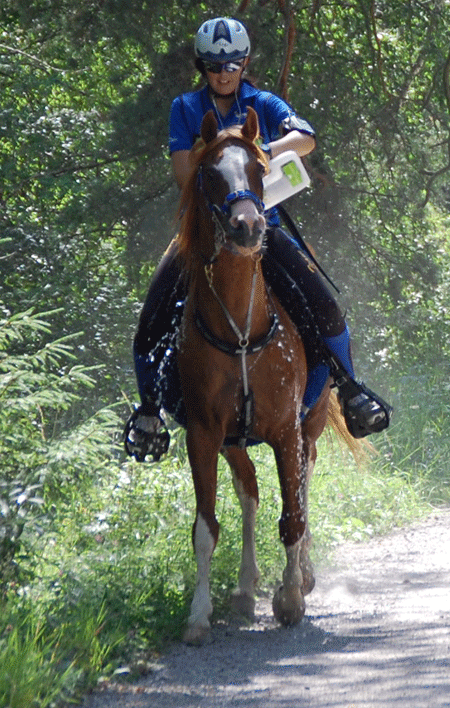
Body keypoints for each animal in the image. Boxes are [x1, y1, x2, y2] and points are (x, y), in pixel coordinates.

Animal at [176, 108, 356, 644]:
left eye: (259, 168)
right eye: (210, 173)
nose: (248, 226)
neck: (241, 327)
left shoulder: (285, 430)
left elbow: (293, 515)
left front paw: (291, 597)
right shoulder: (204, 434)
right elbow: (206, 527)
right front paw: (199, 616)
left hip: (308, 427)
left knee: (302, 486)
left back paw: (301, 574)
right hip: (235, 441)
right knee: (251, 494)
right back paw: (244, 587)